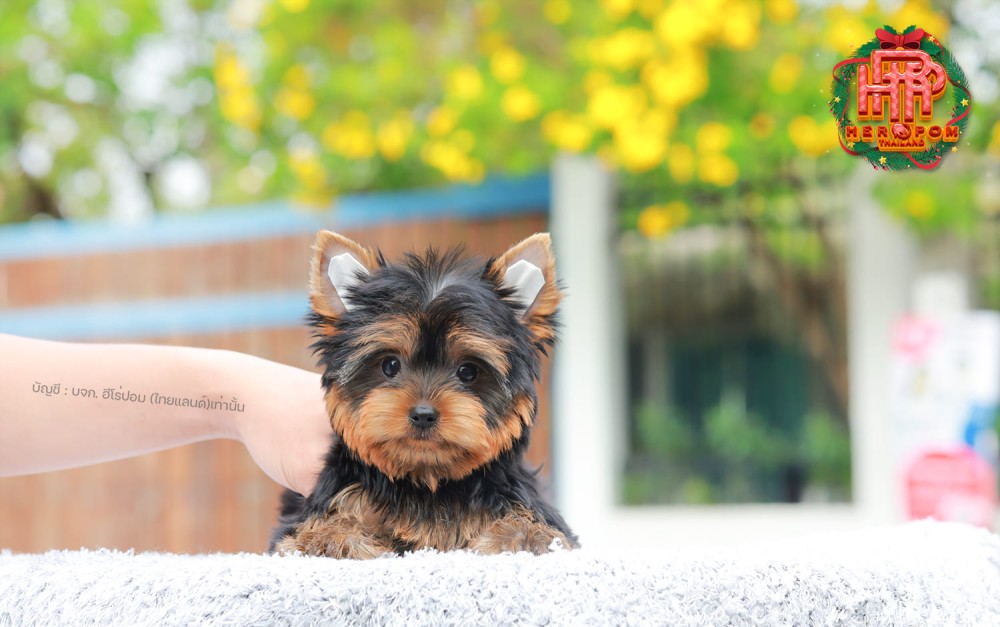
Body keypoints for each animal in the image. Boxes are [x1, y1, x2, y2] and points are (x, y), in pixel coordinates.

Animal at [269, 230, 578, 558]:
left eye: (468, 372)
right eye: (390, 365)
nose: (423, 414)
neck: (425, 480)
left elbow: (540, 530)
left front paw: (518, 538)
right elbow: (320, 527)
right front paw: (326, 540)